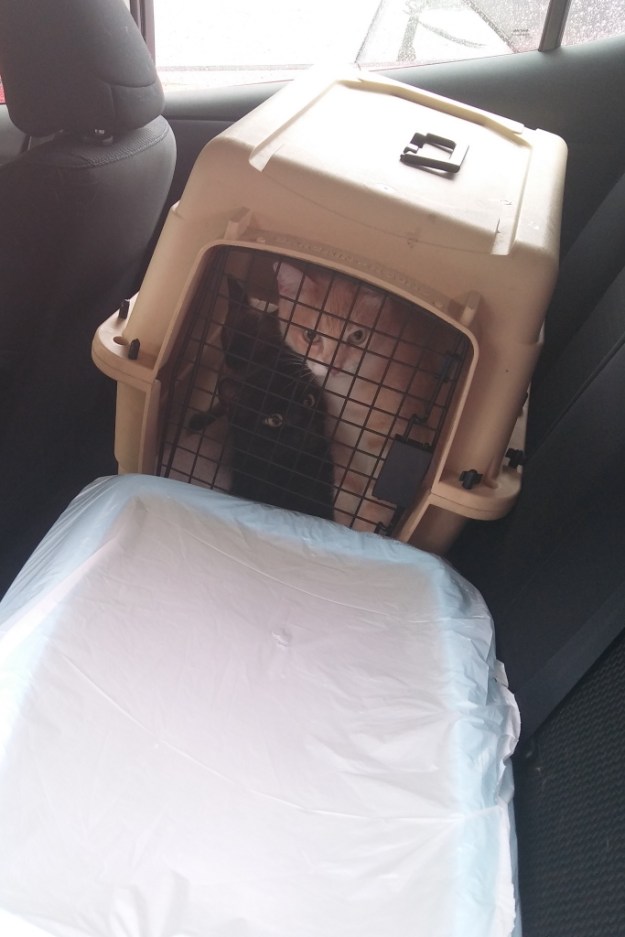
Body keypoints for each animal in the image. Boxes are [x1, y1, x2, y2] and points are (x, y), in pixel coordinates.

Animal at [274, 260, 453, 532]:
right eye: (310, 335)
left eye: (358, 336)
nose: (333, 366)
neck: (352, 398)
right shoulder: (344, 450)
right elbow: (346, 499)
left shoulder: (391, 458)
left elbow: (373, 511)